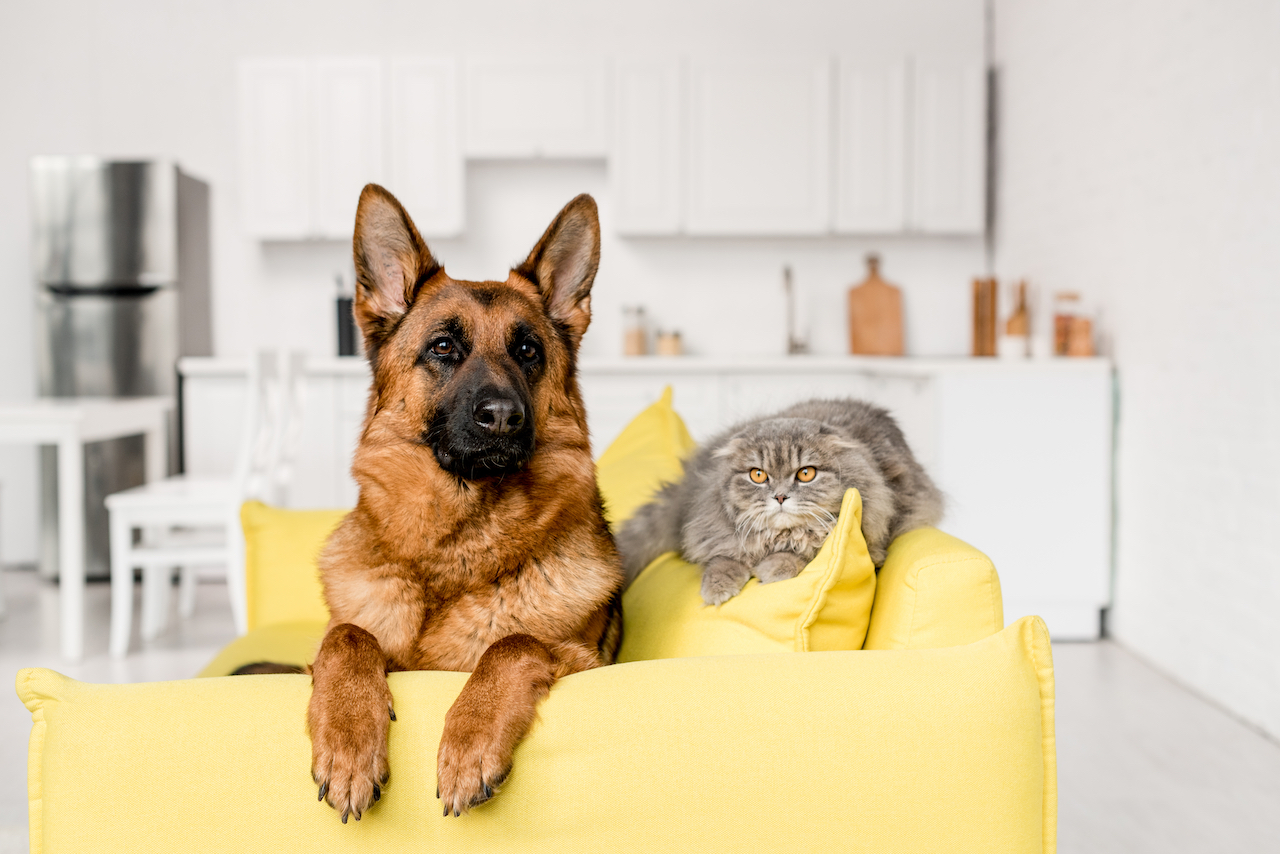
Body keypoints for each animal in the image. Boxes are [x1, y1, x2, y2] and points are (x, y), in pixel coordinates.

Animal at [307, 185, 622, 819]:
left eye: (527, 350)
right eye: (444, 346)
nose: (502, 417)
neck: (456, 545)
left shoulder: (579, 659)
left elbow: (513, 641)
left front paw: (469, 743)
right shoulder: (351, 639)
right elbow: (347, 636)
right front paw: (349, 744)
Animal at [614, 402, 947, 606]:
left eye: (806, 473)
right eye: (758, 475)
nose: (780, 497)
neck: (778, 538)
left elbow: (803, 553)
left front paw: (772, 569)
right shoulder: (716, 534)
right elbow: (722, 561)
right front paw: (718, 590)